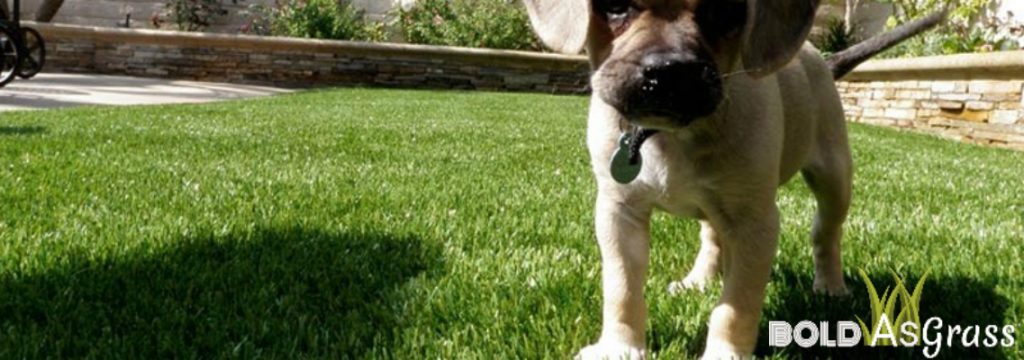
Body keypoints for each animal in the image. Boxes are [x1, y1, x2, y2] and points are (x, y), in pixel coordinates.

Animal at [520, 0, 942, 357]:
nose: (671, 70)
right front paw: (619, 347)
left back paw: (830, 286)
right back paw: (698, 280)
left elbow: (736, 304)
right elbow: (621, 289)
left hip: (834, 176)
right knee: (713, 237)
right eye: (615, 6)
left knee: (826, 234)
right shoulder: (619, 211)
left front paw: (726, 352)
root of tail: (820, 56)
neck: (669, 136)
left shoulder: (755, 223)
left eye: (723, 11)